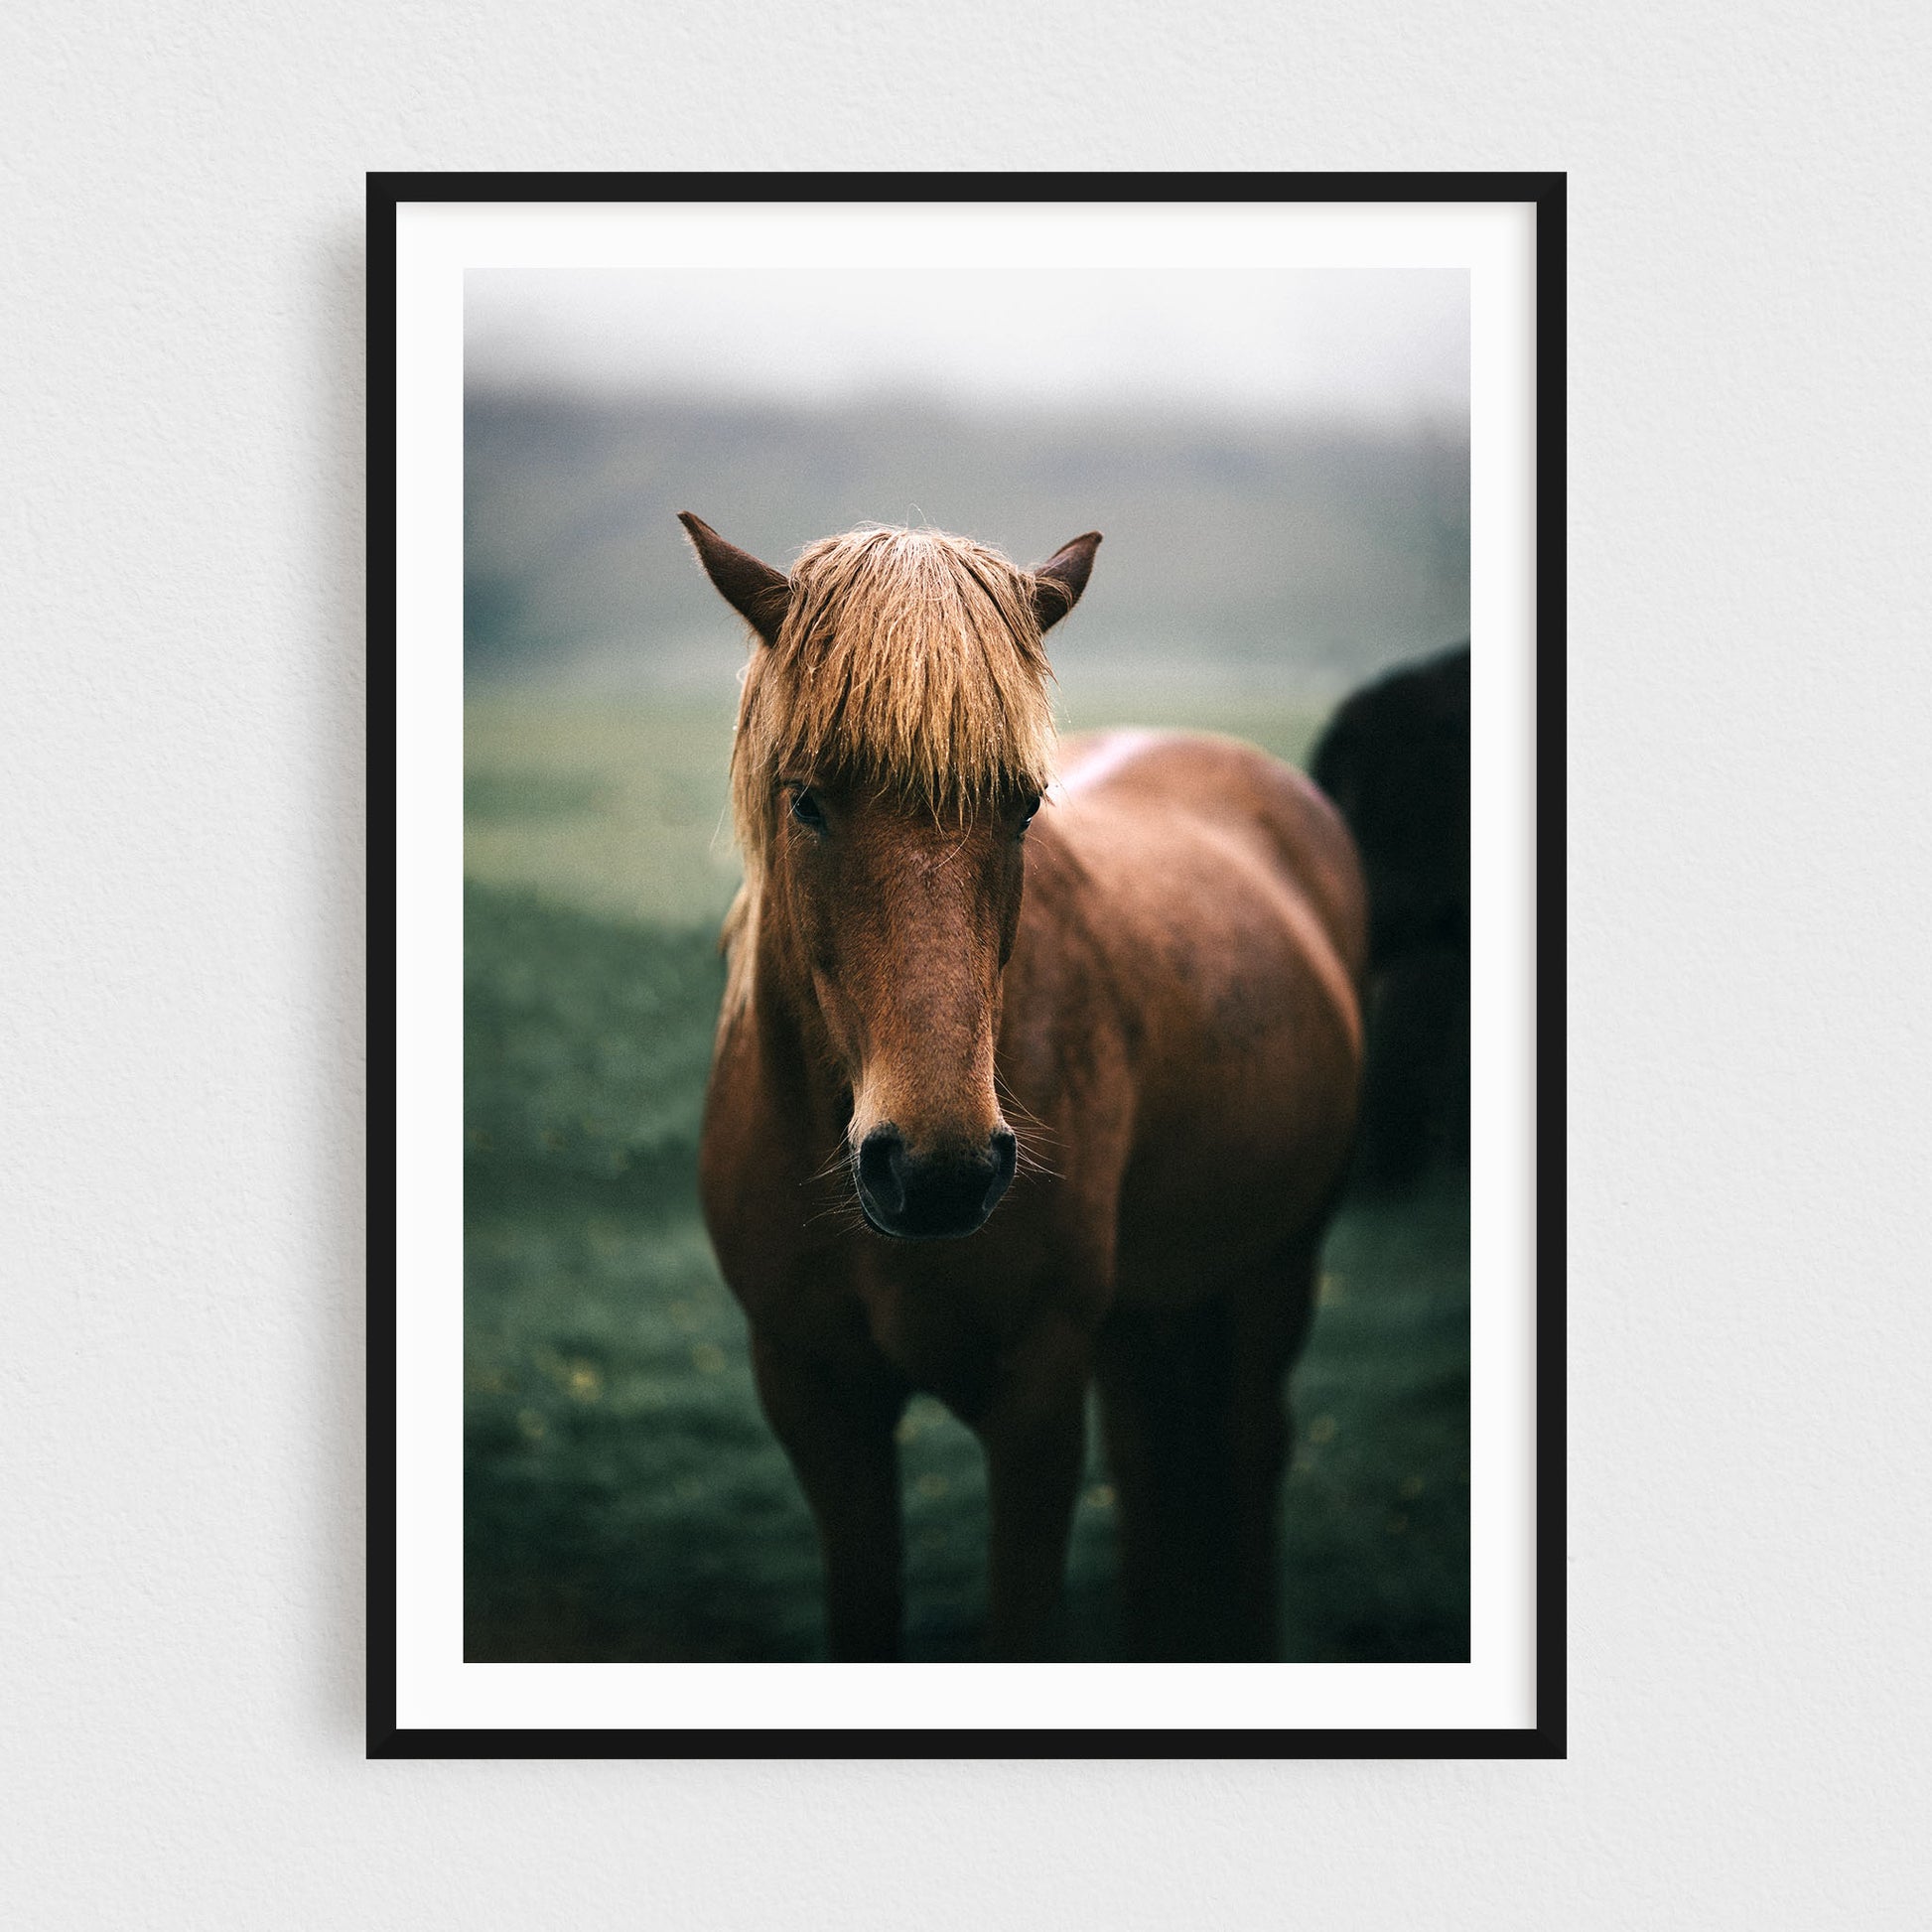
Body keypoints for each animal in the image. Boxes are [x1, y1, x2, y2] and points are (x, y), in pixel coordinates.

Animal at [687, 513, 1367, 1661]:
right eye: (807, 801)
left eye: (1021, 807)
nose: (939, 1170)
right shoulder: (815, 1397)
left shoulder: (1036, 1397)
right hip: (1142, 1308)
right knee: (1148, 1467)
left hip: (1276, 1263)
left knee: (1247, 1456)